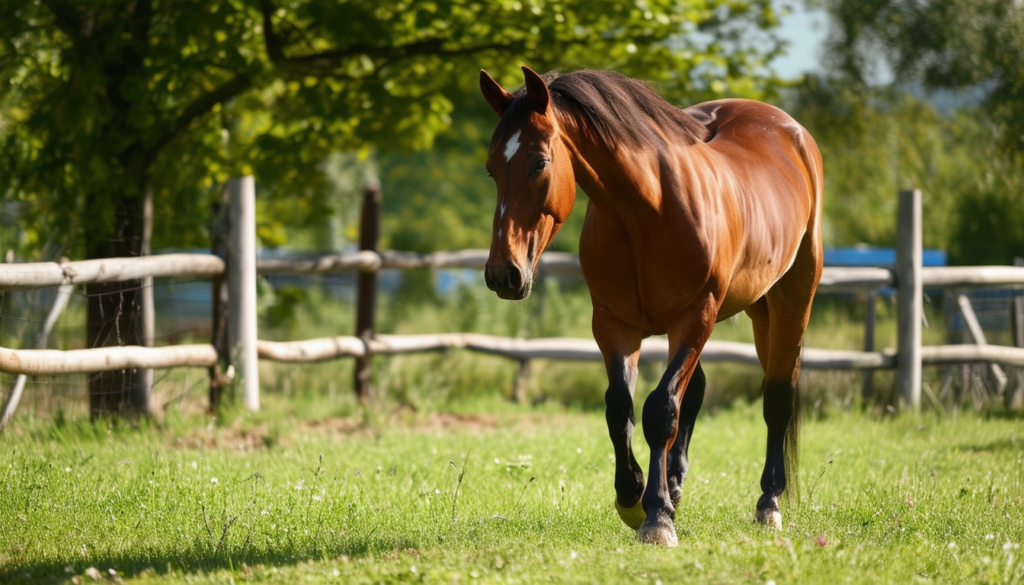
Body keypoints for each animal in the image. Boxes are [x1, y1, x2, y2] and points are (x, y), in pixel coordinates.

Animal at [479, 66, 823, 547]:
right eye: (491, 169)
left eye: (539, 162)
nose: (502, 273)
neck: (647, 212)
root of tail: (791, 132)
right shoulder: (614, 324)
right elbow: (620, 407)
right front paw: (633, 497)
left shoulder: (695, 316)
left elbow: (661, 410)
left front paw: (657, 518)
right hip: (754, 308)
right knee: (695, 391)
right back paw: (674, 487)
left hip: (790, 299)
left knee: (777, 396)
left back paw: (768, 502)